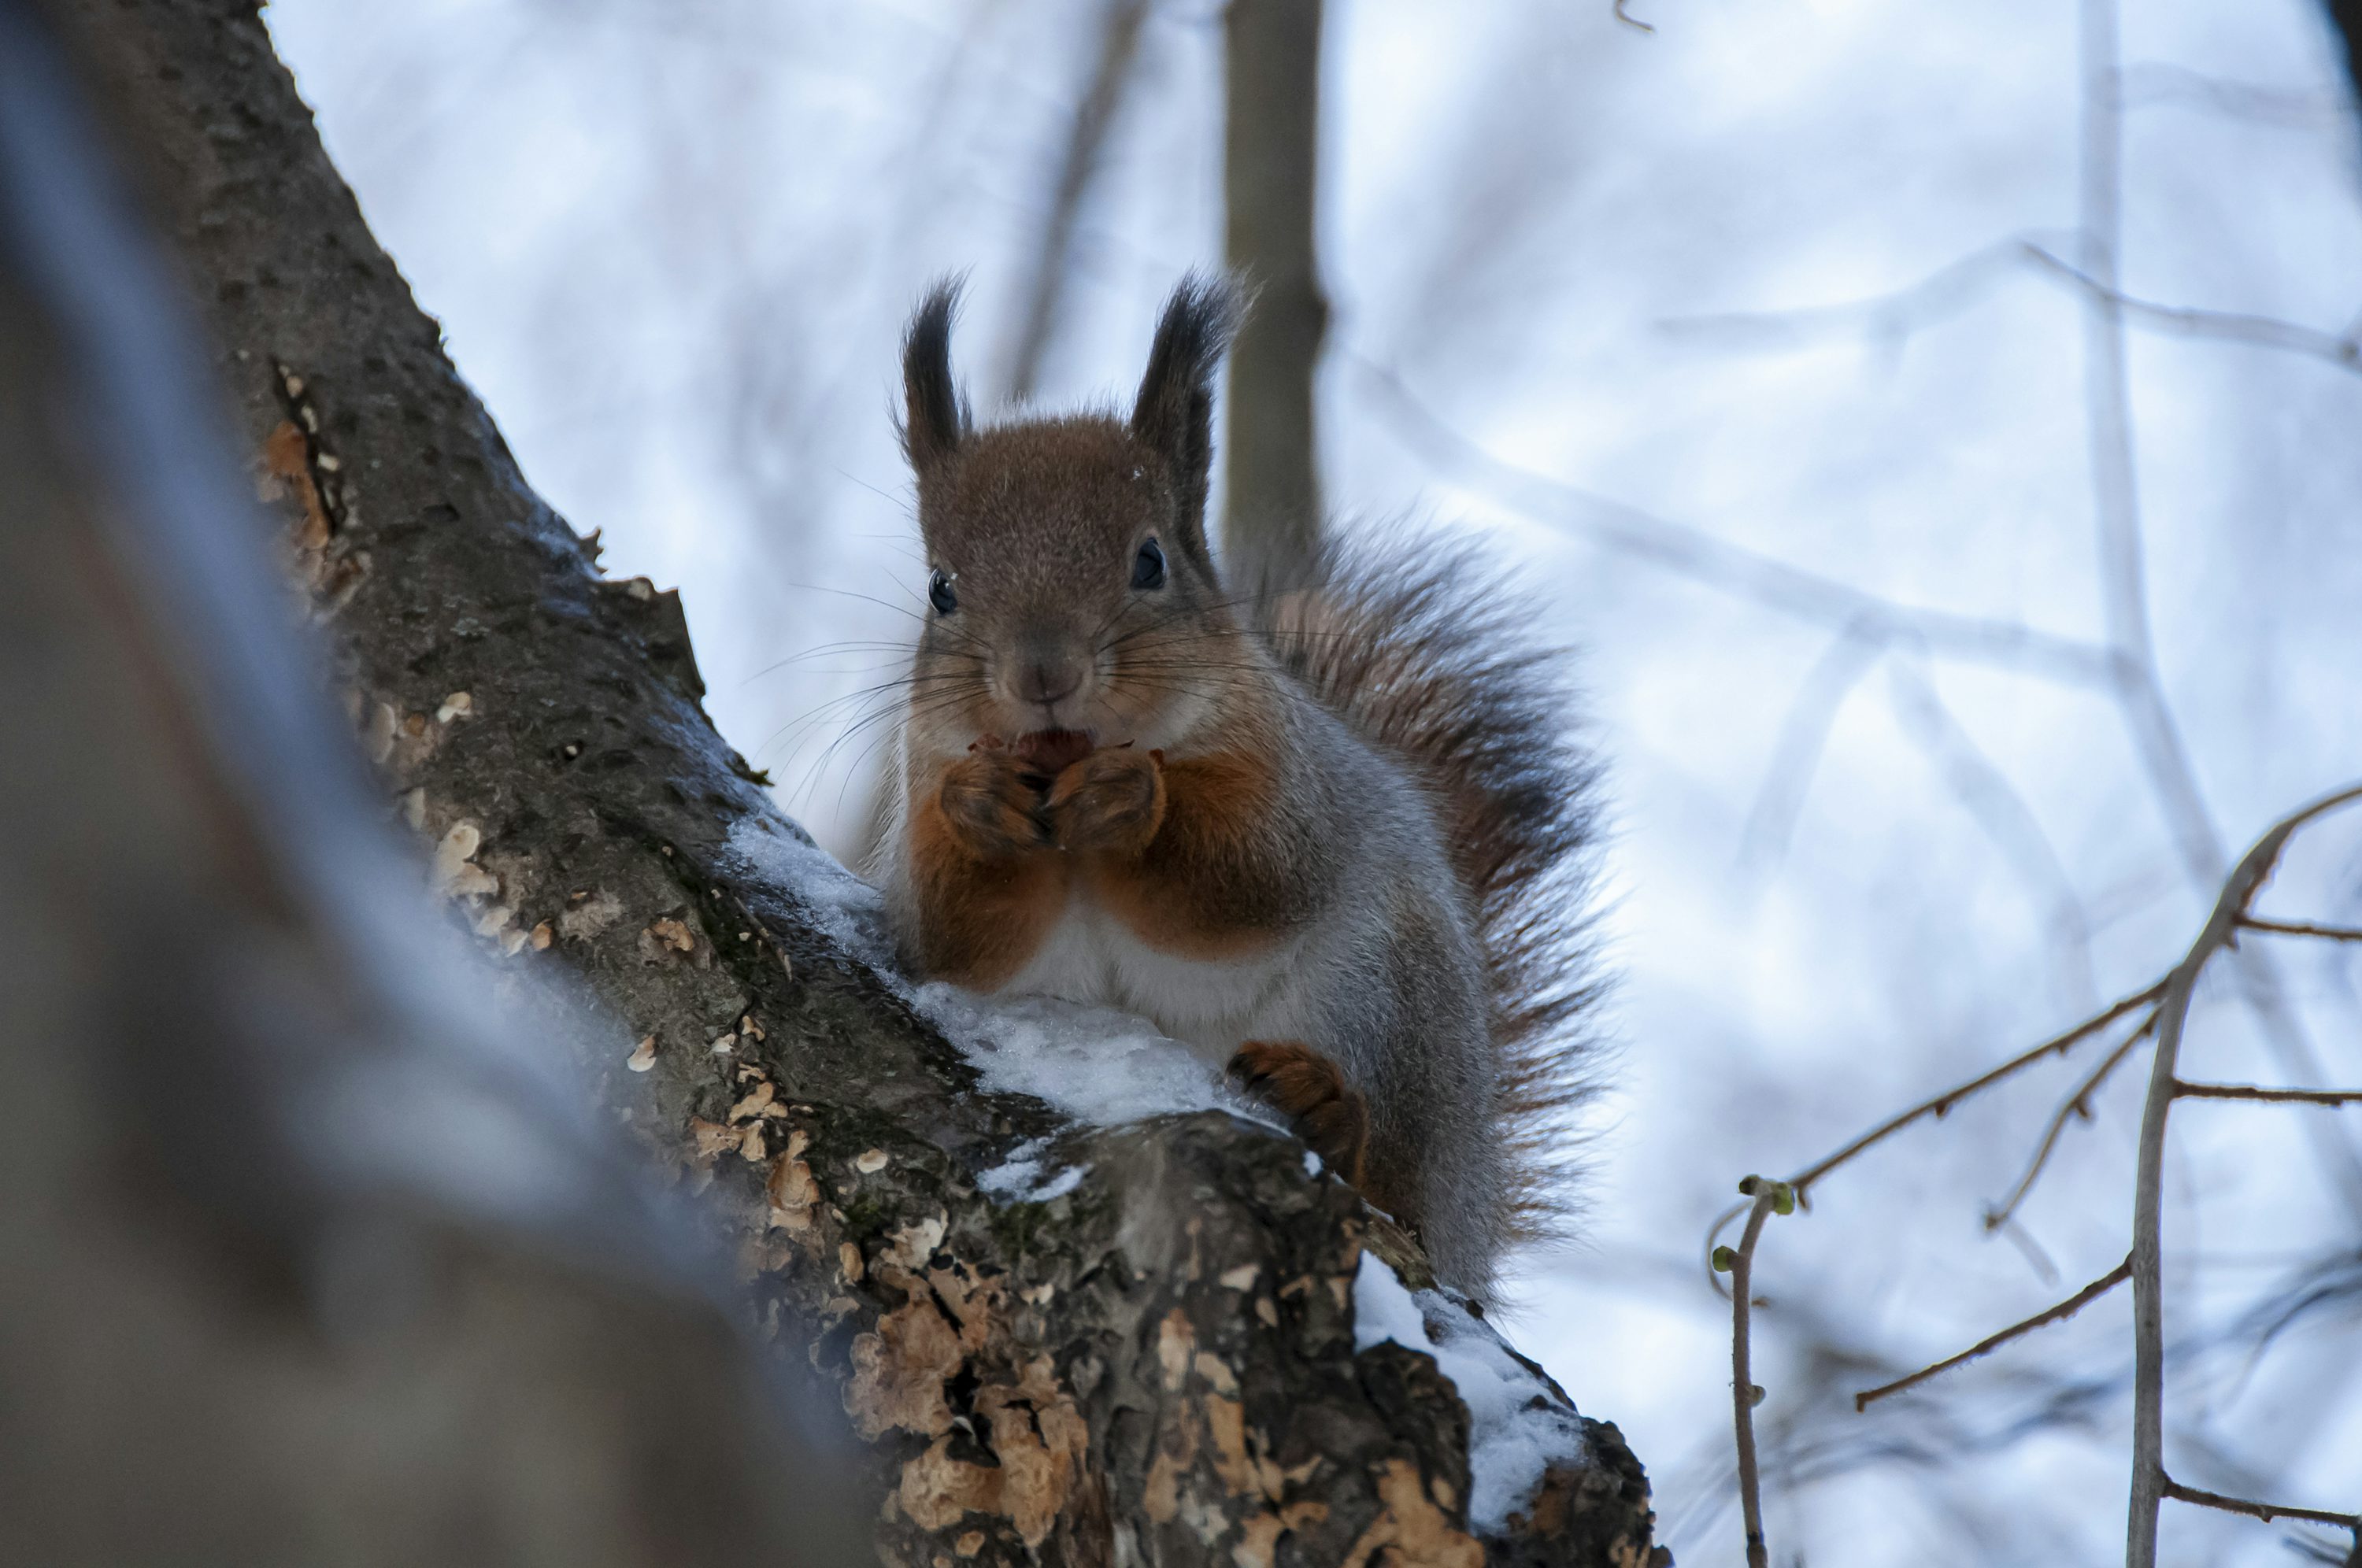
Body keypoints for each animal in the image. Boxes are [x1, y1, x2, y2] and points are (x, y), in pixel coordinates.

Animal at [873, 275, 1602, 1304]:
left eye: (1150, 561)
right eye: (940, 588)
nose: (1043, 674)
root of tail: (1475, 1223)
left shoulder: (1293, 782)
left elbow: (1248, 879)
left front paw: (1135, 802)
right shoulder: (920, 792)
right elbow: (951, 935)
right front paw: (980, 807)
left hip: (1395, 1004)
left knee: (1399, 1181)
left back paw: (1331, 1111)